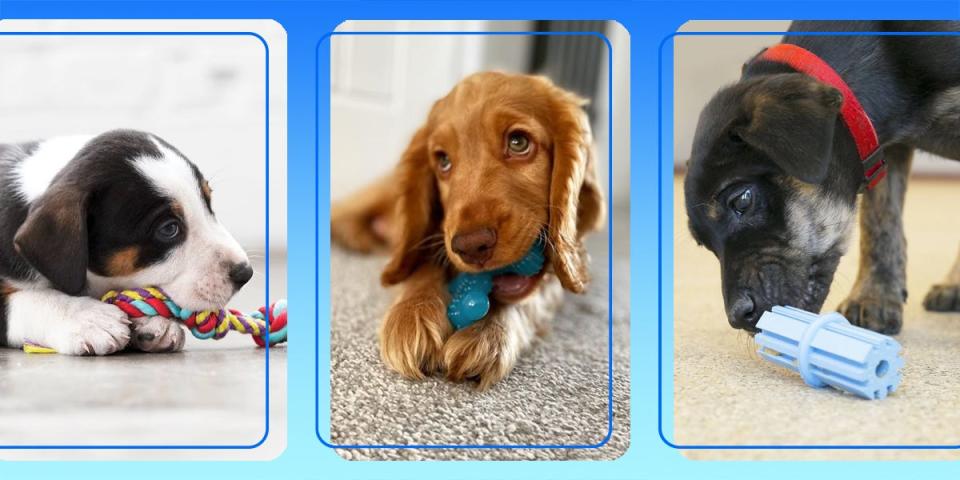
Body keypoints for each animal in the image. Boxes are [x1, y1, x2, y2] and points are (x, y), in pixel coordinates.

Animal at [0, 129, 251, 354]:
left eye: (208, 203)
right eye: (169, 229)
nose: (245, 274)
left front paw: (153, 322)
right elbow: (29, 301)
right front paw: (87, 318)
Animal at [330, 71, 600, 388]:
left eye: (518, 142)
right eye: (443, 161)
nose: (472, 246)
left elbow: (532, 295)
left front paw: (490, 332)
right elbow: (422, 264)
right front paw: (413, 313)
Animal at [684, 19, 960, 334]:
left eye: (742, 200)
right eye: (705, 243)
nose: (738, 318)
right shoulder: (884, 149)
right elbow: (880, 220)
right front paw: (874, 296)